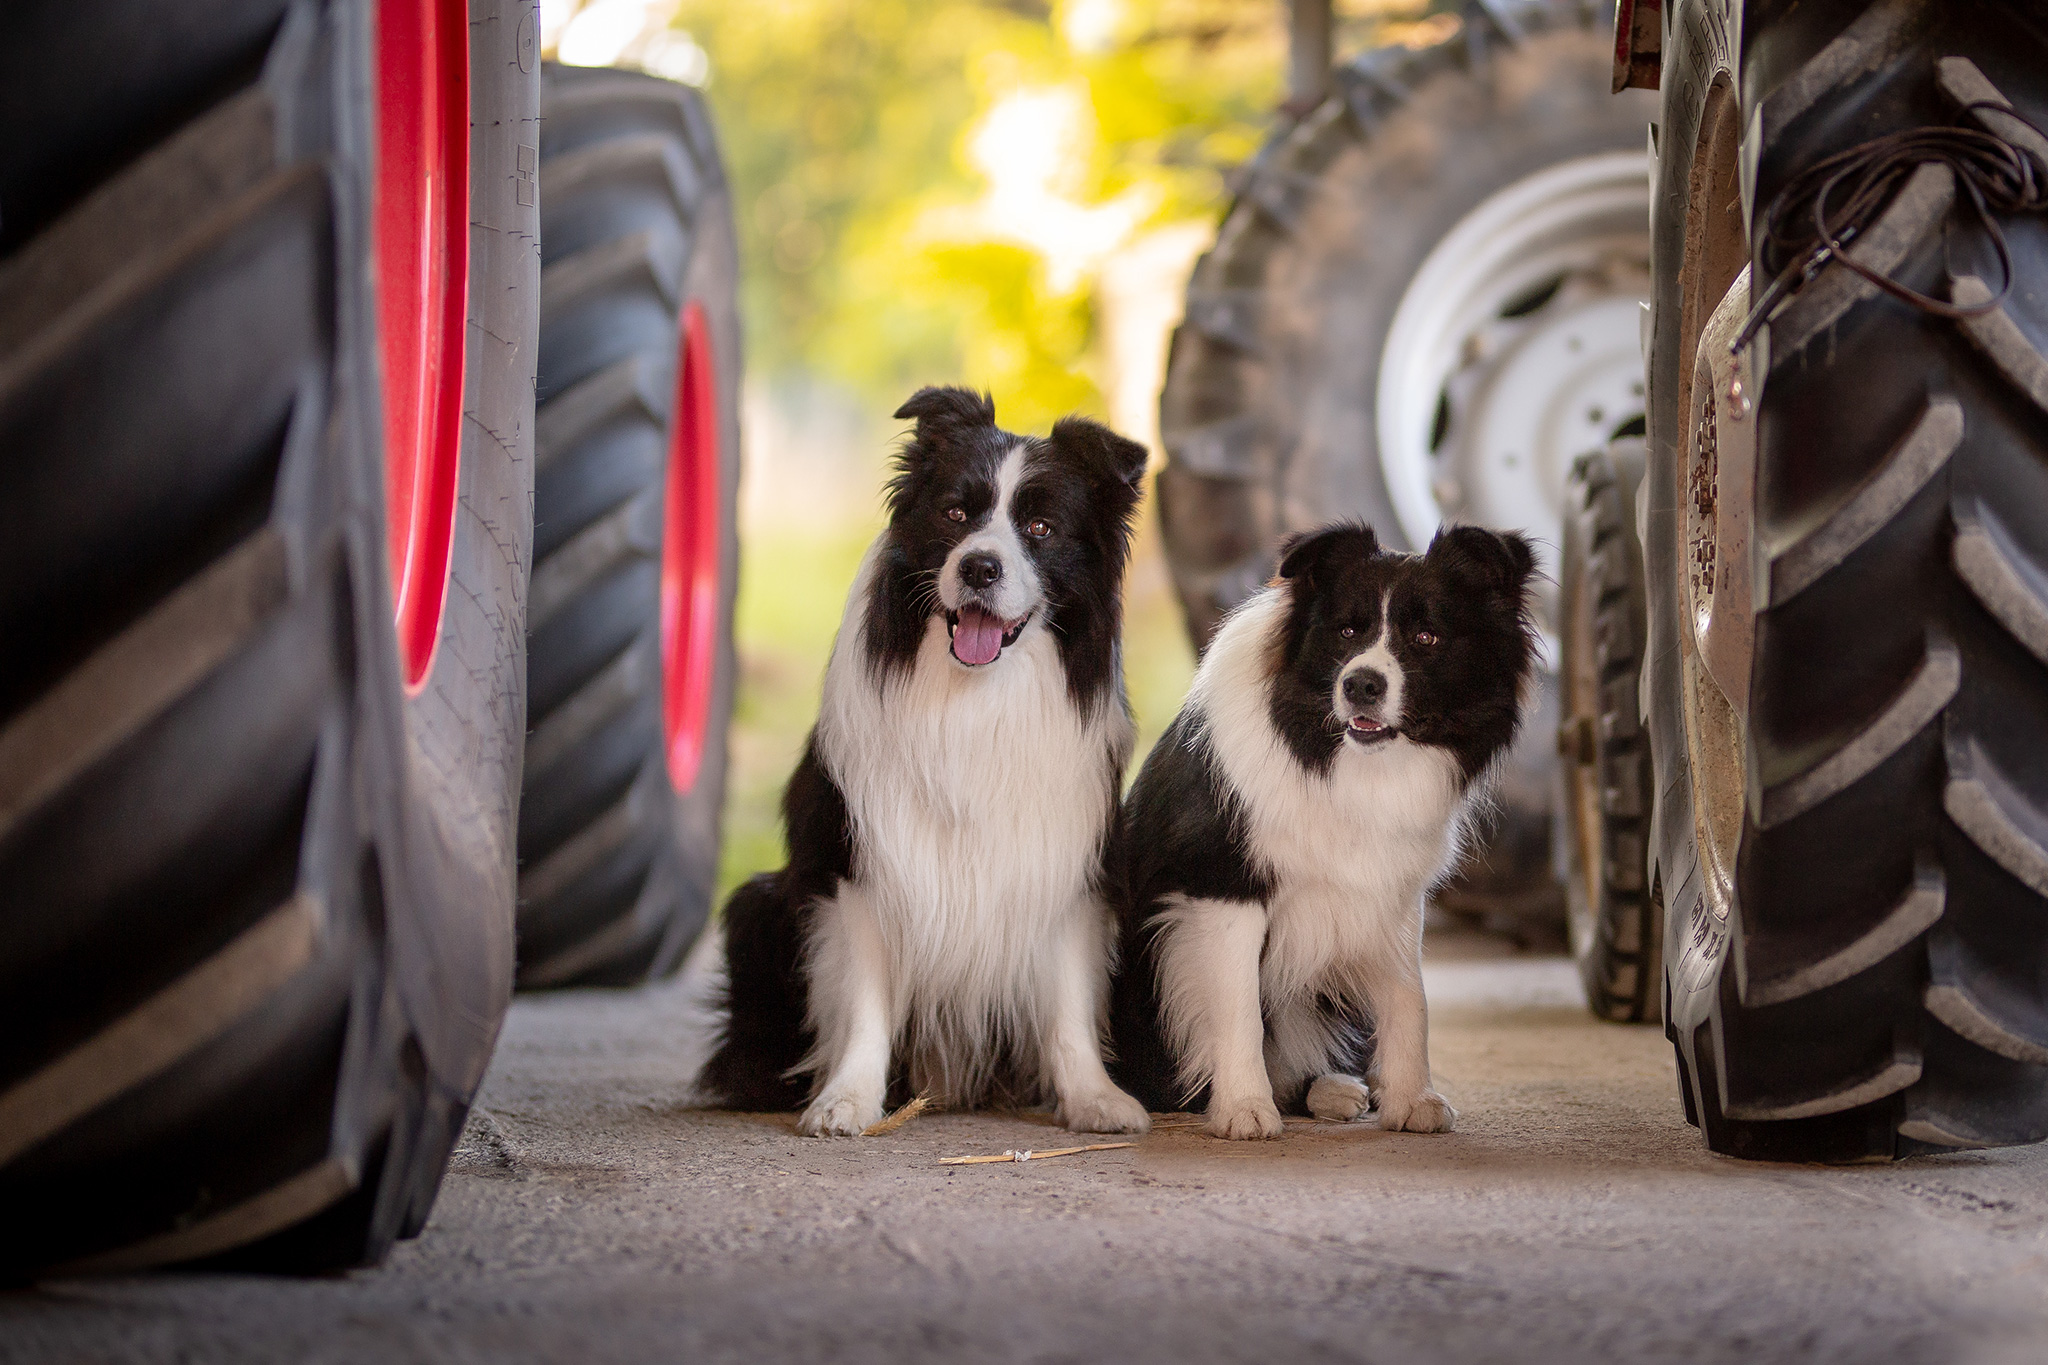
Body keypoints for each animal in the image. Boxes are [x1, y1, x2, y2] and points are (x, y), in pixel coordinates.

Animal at [696, 386, 1163, 1146]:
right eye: (954, 514)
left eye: (1040, 527)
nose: (979, 567)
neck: (973, 696)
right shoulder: (856, 866)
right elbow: (864, 1002)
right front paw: (848, 1100)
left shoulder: (1069, 864)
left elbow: (1067, 1002)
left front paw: (1094, 1097)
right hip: (757, 904)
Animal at [1105, 523, 1540, 1146]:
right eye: (1347, 630)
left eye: (1426, 637)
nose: (1361, 684)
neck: (1344, 763)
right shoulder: (1222, 889)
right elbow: (1238, 1006)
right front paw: (1244, 1108)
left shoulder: (1392, 893)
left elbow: (1410, 996)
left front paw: (1412, 1099)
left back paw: (1334, 1090)